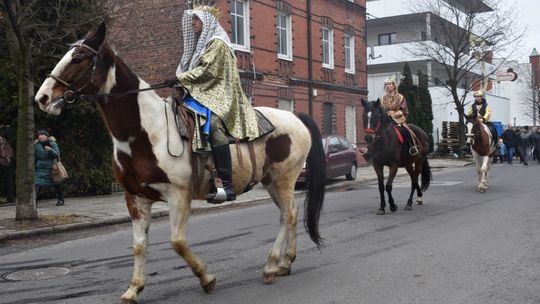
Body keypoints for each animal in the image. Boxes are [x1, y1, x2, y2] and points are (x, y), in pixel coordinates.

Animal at [35, 22, 326, 302]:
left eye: (78, 58)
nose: (42, 98)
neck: (144, 133)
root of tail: (296, 117)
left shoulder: (178, 195)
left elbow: (177, 242)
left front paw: (206, 278)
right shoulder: (135, 198)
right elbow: (139, 245)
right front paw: (134, 288)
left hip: (284, 178)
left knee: (288, 214)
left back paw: (271, 266)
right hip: (272, 181)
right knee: (289, 213)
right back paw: (285, 263)